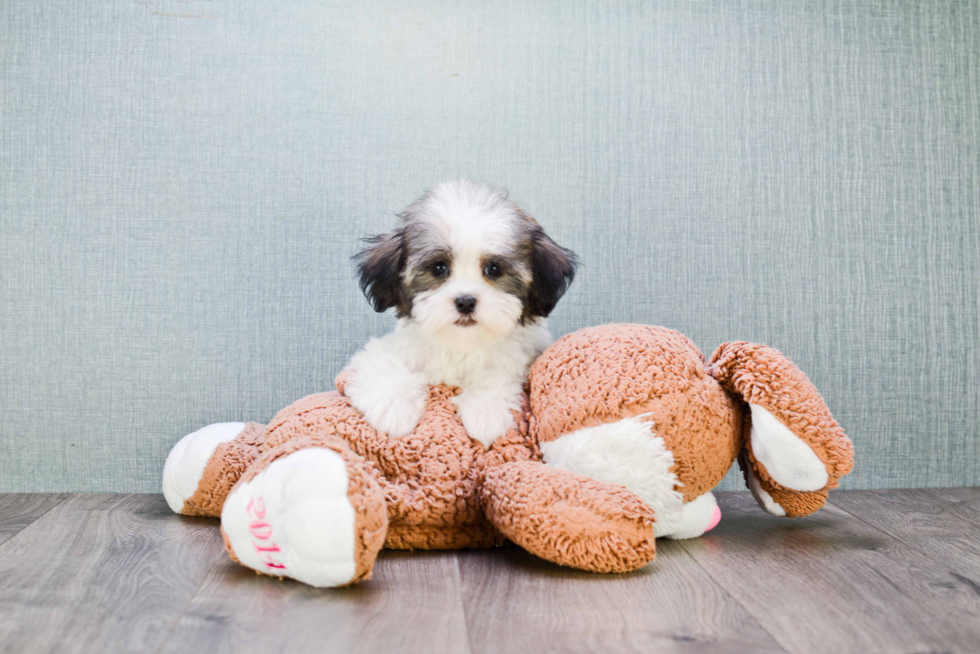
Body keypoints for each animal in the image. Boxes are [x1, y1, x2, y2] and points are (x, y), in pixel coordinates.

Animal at [342, 179, 576, 448]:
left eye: (493, 269)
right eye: (439, 268)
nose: (465, 301)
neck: (460, 345)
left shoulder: (521, 358)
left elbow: (498, 373)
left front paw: (485, 412)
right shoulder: (388, 349)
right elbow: (382, 364)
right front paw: (394, 408)